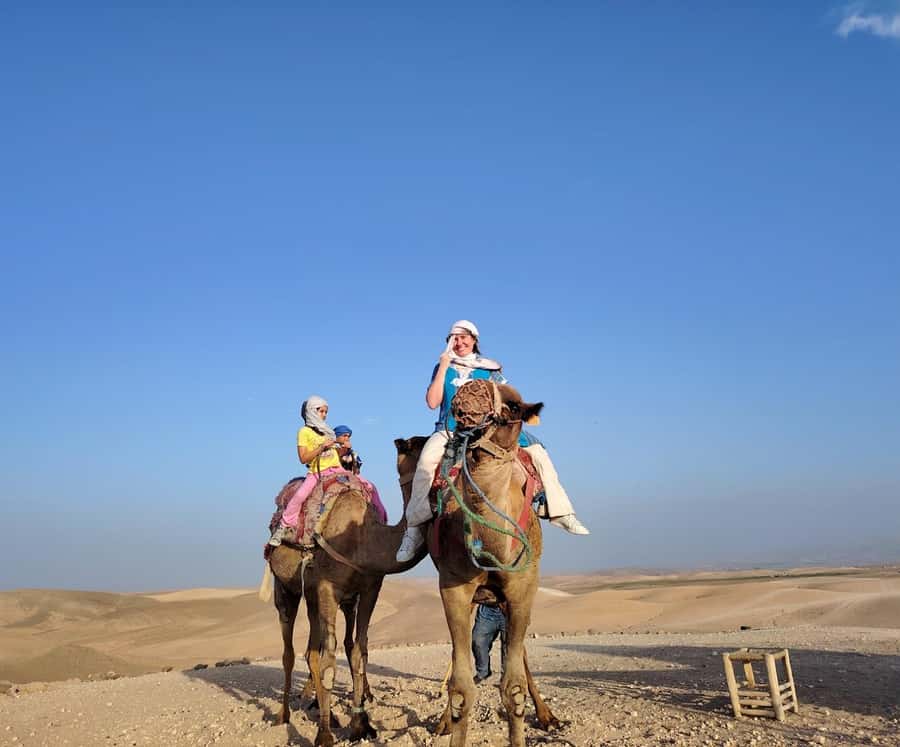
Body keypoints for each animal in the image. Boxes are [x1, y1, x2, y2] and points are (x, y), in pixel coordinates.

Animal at [266, 478, 427, 747]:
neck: (363, 538)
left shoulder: (369, 589)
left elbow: (359, 653)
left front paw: (360, 724)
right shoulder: (327, 588)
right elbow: (330, 661)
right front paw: (324, 735)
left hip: (313, 597)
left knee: (312, 650)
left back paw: (329, 714)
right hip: (285, 586)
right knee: (289, 650)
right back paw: (283, 715)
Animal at [393, 379, 557, 746]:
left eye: (513, 406)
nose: (471, 394)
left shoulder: (523, 587)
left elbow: (513, 686)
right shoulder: (454, 588)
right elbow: (461, 687)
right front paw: (450, 723)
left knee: (519, 653)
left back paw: (547, 716)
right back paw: (443, 721)